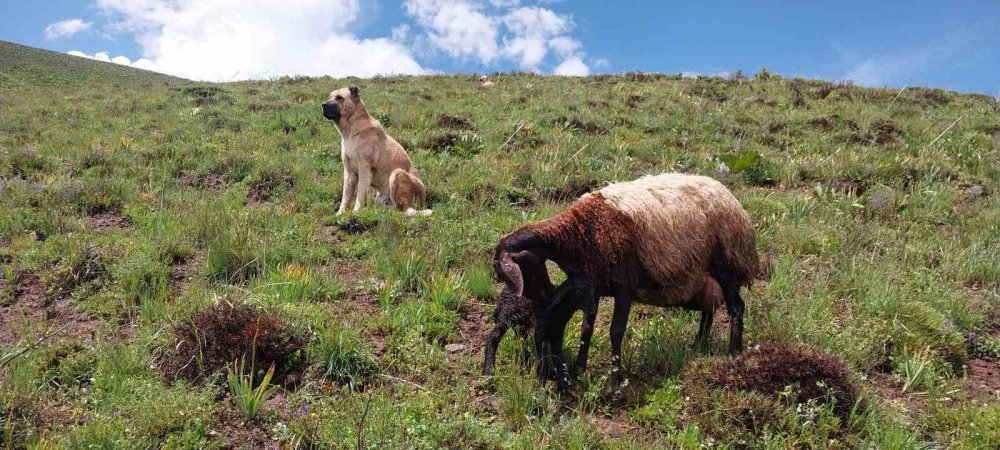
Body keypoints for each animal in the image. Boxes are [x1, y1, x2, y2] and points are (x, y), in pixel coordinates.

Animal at [322, 86, 428, 218]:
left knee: (403, 208)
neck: (351, 130)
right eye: (329, 97)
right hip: (381, 196)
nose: (323, 105)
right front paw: (340, 214)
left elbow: (360, 194)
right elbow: (345, 196)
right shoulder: (349, 172)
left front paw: (356, 212)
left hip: (397, 173)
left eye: (339, 98)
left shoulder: (364, 169)